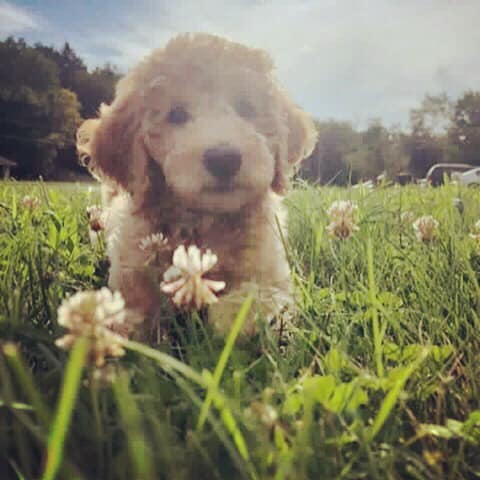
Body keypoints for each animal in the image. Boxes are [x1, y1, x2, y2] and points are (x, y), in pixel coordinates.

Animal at [78, 32, 316, 338]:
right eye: (176, 115)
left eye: (246, 108)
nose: (224, 158)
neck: (205, 220)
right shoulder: (131, 264)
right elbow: (129, 312)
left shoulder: (274, 272)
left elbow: (256, 297)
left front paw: (230, 317)